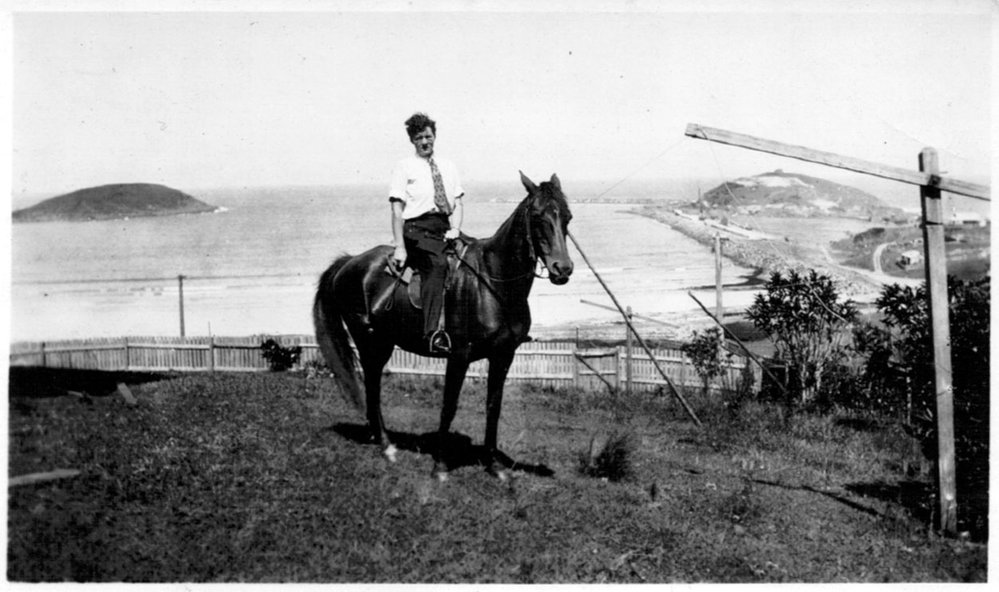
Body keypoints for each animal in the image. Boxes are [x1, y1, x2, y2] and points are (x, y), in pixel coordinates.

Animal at [313, 171, 574, 480]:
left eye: (567, 217)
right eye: (537, 216)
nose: (563, 269)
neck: (492, 282)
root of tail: (349, 262)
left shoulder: (503, 356)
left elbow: (493, 406)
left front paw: (494, 465)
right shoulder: (459, 355)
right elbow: (449, 405)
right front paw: (439, 465)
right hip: (370, 342)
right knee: (373, 386)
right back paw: (386, 446)